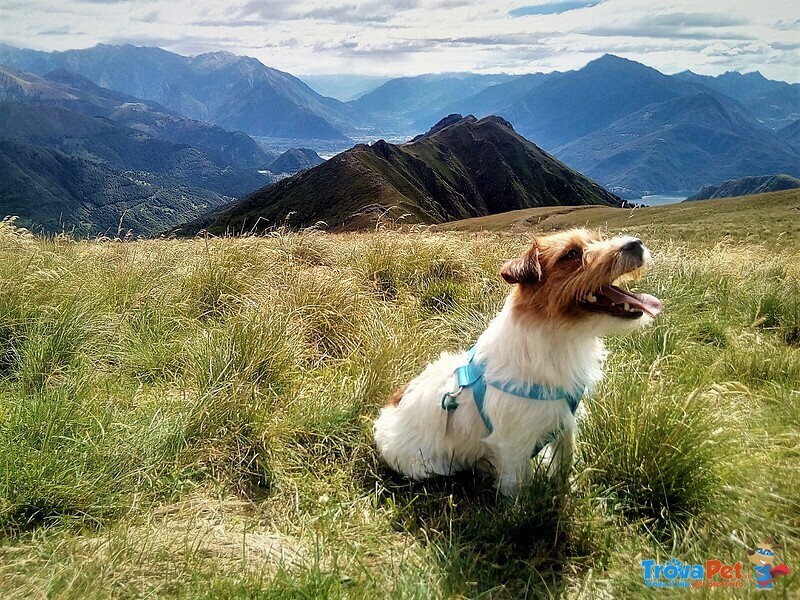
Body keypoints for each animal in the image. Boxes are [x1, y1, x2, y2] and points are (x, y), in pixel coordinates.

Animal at [374, 227, 664, 494]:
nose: (636, 243)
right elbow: (516, 488)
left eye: (597, 238)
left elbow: (564, 462)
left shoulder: (564, 425)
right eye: (571, 254)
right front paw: (519, 511)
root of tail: (383, 419)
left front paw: (564, 492)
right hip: (426, 466)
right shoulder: (513, 444)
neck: (558, 336)